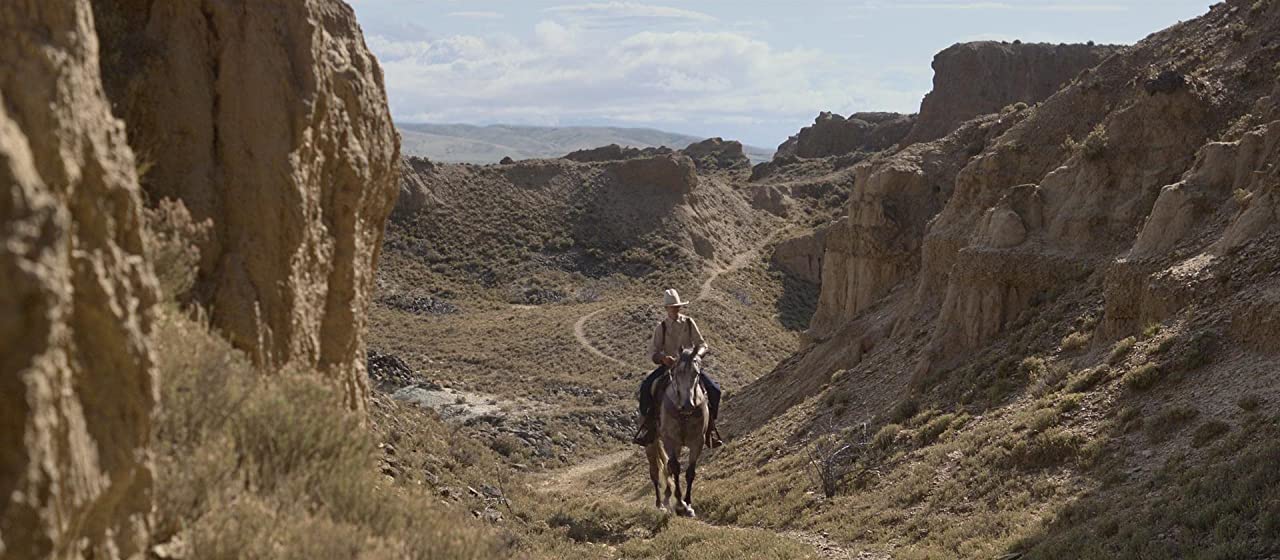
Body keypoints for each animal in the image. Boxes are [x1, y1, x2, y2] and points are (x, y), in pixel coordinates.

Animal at [640, 347, 711, 519]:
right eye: (677, 373)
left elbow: (690, 472)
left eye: (696, 373)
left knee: (667, 467)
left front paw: (688, 505)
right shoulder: (671, 441)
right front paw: (679, 504)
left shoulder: (697, 442)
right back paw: (660, 504)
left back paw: (667, 497)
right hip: (651, 443)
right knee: (655, 471)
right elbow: (676, 468)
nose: (688, 405)